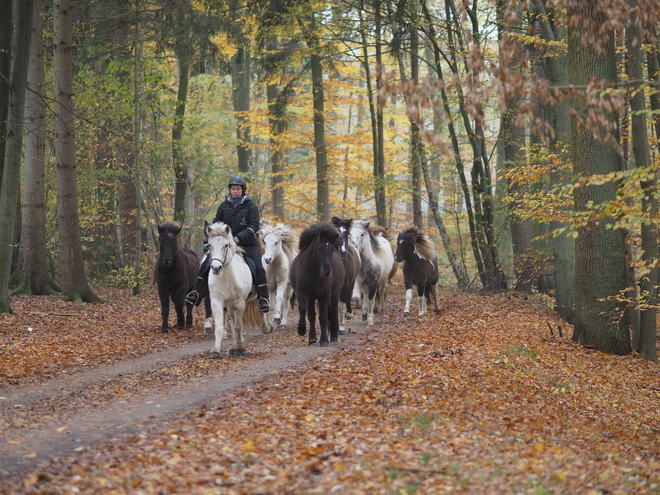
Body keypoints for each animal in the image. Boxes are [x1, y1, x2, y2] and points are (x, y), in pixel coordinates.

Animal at [204, 223, 270, 358]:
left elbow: (238, 326)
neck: (226, 277)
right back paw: (233, 347)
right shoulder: (217, 301)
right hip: (229, 305)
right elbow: (222, 326)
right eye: (209, 246)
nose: (216, 268)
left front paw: (240, 349)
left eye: (226, 245)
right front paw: (216, 350)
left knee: (261, 308)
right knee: (233, 322)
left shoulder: (240, 302)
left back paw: (266, 328)